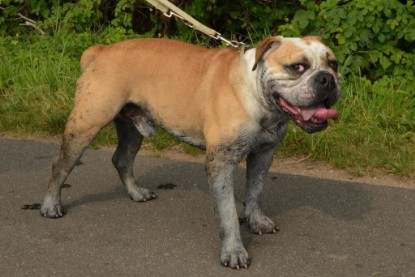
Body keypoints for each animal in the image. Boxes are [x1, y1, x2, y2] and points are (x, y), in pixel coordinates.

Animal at [40, 35, 342, 268]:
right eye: (297, 67)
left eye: (333, 63)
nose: (327, 79)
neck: (257, 96)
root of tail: (102, 50)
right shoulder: (220, 162)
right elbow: (228, 213)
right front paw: (234, 251)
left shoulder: (263, 154)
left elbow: (255, 191)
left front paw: (255, 220)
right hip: (85, 125)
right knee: (60, 165)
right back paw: (51, 205)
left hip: (132, 127)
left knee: (122, 159)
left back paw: (136, 193)